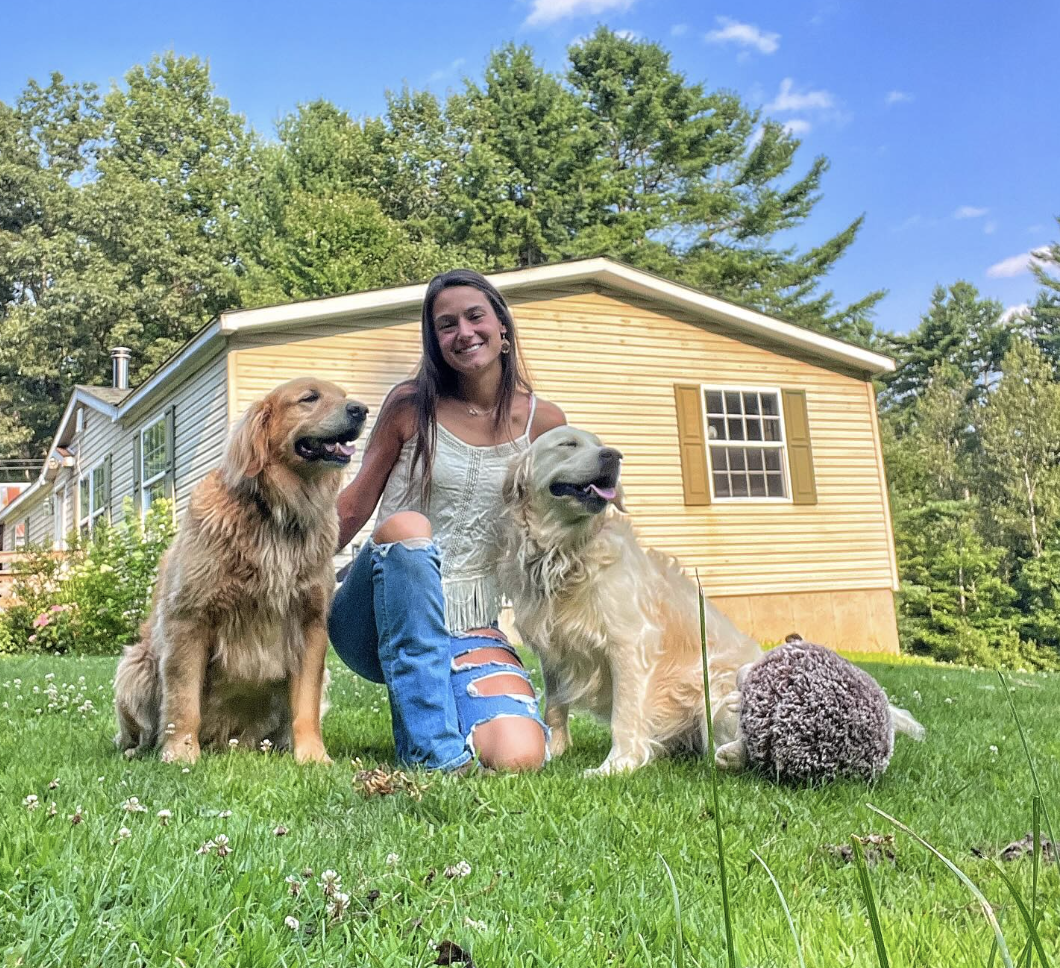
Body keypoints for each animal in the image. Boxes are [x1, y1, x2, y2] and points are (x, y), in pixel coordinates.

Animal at [113, 378, 367, 765]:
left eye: (343, 395)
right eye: (309, 398)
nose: (361, 410)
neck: (277, 511)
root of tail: (227, 740)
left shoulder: (310, 622)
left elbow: (305, 706)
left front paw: (312, 756)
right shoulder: (190, 618)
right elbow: (183, 700)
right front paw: (181, 752)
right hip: (134, 666)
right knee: (140, 731)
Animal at [499, 426, 762, 775]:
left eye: (600, 445)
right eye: (568, 444)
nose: (613, 455)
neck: (568, 552)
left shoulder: (629, 642)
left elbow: (624, 715)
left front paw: (616, 767)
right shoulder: (552, 650)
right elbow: (554, 707)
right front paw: (555, 751)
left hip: (716, 689)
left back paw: (733, 754)